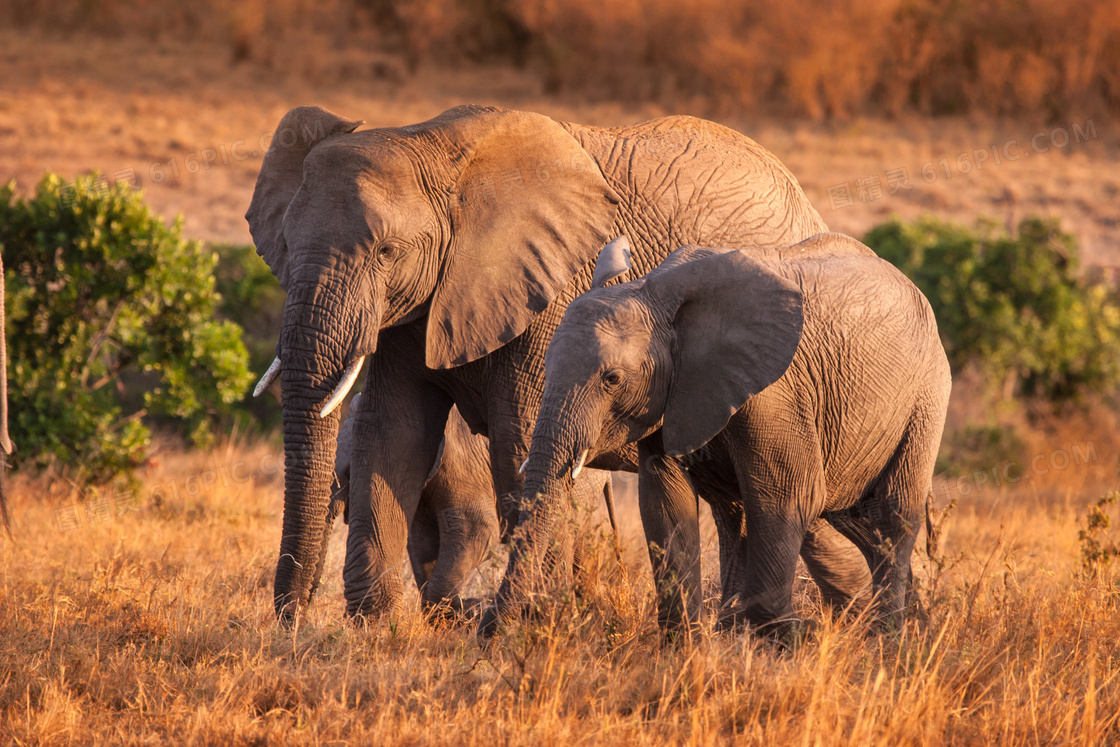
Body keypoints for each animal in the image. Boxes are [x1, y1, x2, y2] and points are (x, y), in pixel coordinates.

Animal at [495, 231, 949, 631]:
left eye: (612, 379)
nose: (490, 631)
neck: (652, 292)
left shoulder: (776, 394)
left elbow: (789, 495)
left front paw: (782, 640)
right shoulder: (674, 394)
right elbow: (665, 501)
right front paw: (688, 647)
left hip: (926, 396)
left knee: (892, 513)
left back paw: (887, 638)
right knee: (823, 519)